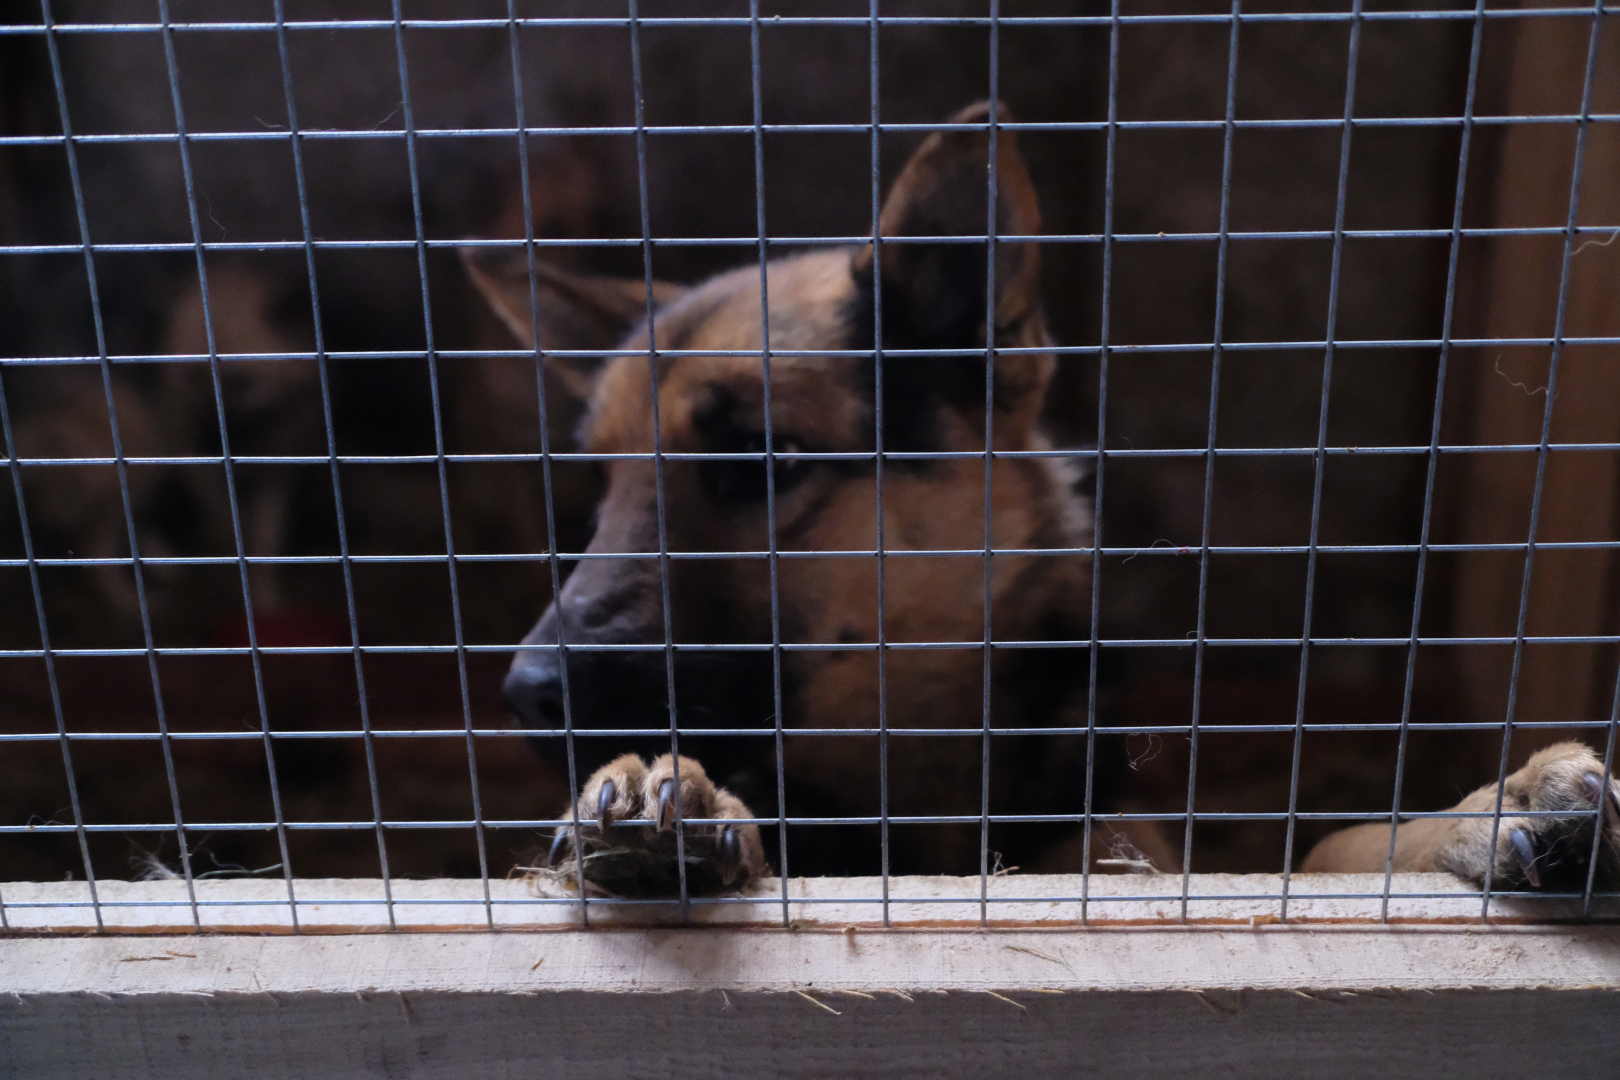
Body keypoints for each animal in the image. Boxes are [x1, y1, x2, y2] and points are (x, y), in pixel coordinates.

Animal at [469, 103, 1620, 893]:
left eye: (764, 459)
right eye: (600, 487)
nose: (526, 693)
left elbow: (1331, 845)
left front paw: (1475, 812)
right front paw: (677, 814)